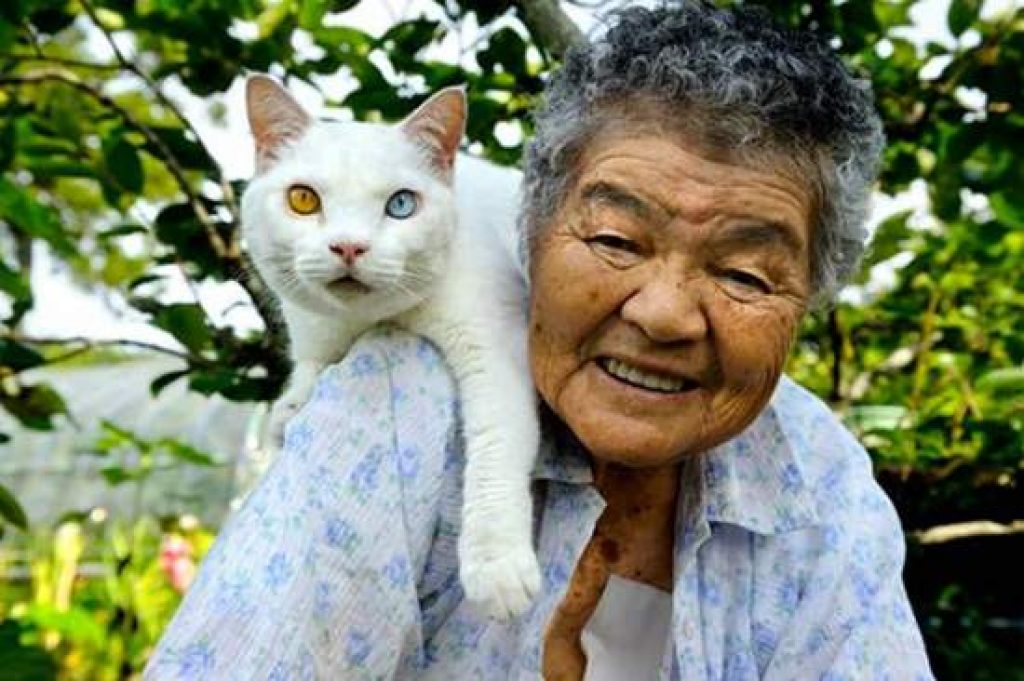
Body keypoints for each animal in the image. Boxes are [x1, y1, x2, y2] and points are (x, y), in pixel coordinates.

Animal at [240, 75, 544, 622]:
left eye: (401, 205)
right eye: (303, 200)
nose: (349, 246)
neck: (368, 320)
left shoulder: (496, 345)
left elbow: (495, 445)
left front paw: (496, 566)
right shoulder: (314, 332)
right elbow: (311, 366)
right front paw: (289, 406)